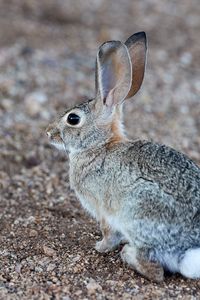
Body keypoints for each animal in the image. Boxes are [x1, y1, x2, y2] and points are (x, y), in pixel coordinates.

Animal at [45, 31, 200, 282]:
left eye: (73, 119)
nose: (49, 132)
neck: (100, 146)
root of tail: (190, 249)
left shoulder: (103, 210)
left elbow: (108, 233)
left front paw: (100, 247)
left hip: (138, 212)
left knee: (155, 270)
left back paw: (127, 254)